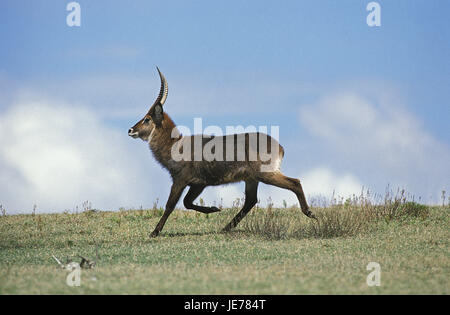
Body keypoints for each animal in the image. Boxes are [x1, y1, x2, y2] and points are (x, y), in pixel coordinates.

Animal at [128, 68, 314, 237]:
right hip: (251, 179)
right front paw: (213, 209)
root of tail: (280, 146)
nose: (130, 130)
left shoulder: (181, 179)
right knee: (250, 201)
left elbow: (170, 205)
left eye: (147, 119)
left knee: (295, 182)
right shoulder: (199, 183)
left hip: (265, 174)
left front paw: (154, 232)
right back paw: (226, 227)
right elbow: (187, 203)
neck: (175, 144)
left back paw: (309, 212)